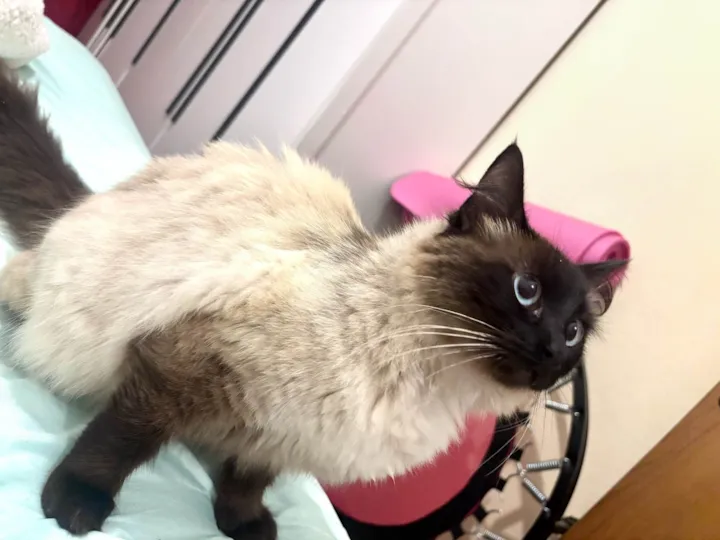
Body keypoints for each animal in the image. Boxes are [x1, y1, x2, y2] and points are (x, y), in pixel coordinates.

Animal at [0, 64, 626, 539]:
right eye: (527, 291)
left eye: (575, 333)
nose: (552, 353)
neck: (433, 385)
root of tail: (84, 204)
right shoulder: (184, 368)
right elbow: (121, 441)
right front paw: (76, 502)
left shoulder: (284, 438)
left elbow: (249, 480)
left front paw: (244, 526)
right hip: (68, 306)